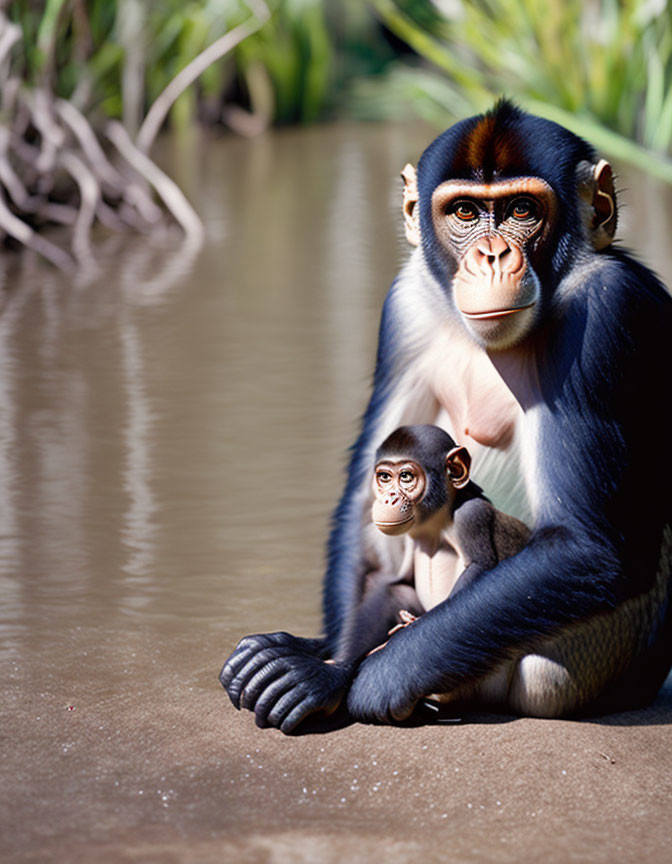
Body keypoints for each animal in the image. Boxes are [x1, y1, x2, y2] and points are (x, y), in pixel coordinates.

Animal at [222, 103, 672, 736]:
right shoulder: (405, 303)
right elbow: (367, 498)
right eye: (464, 211)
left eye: (521, 210)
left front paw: (361, 677)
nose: (491, 253)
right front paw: (327, 658)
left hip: (594, 663)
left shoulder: (607, 309)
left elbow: (585, 545)